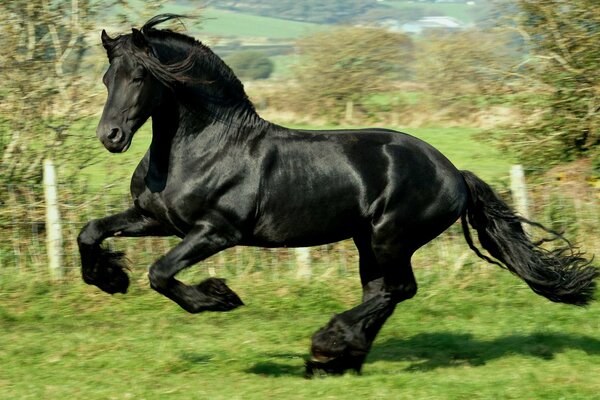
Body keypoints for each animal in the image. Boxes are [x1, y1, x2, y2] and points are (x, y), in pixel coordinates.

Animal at [78, 15, 596, 376]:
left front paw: (220, 298)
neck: (205, 146)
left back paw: (327, 346)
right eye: (106, 79)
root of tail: (453, 172)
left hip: (391, 237)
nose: (111, 136)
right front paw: (109, 279)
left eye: (140, 78)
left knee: (396, 290)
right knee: (382, 292)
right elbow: (90, 232)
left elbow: (161, 273)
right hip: (368, 241)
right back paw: (339, 360)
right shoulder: (156, 219)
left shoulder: (216, 232)